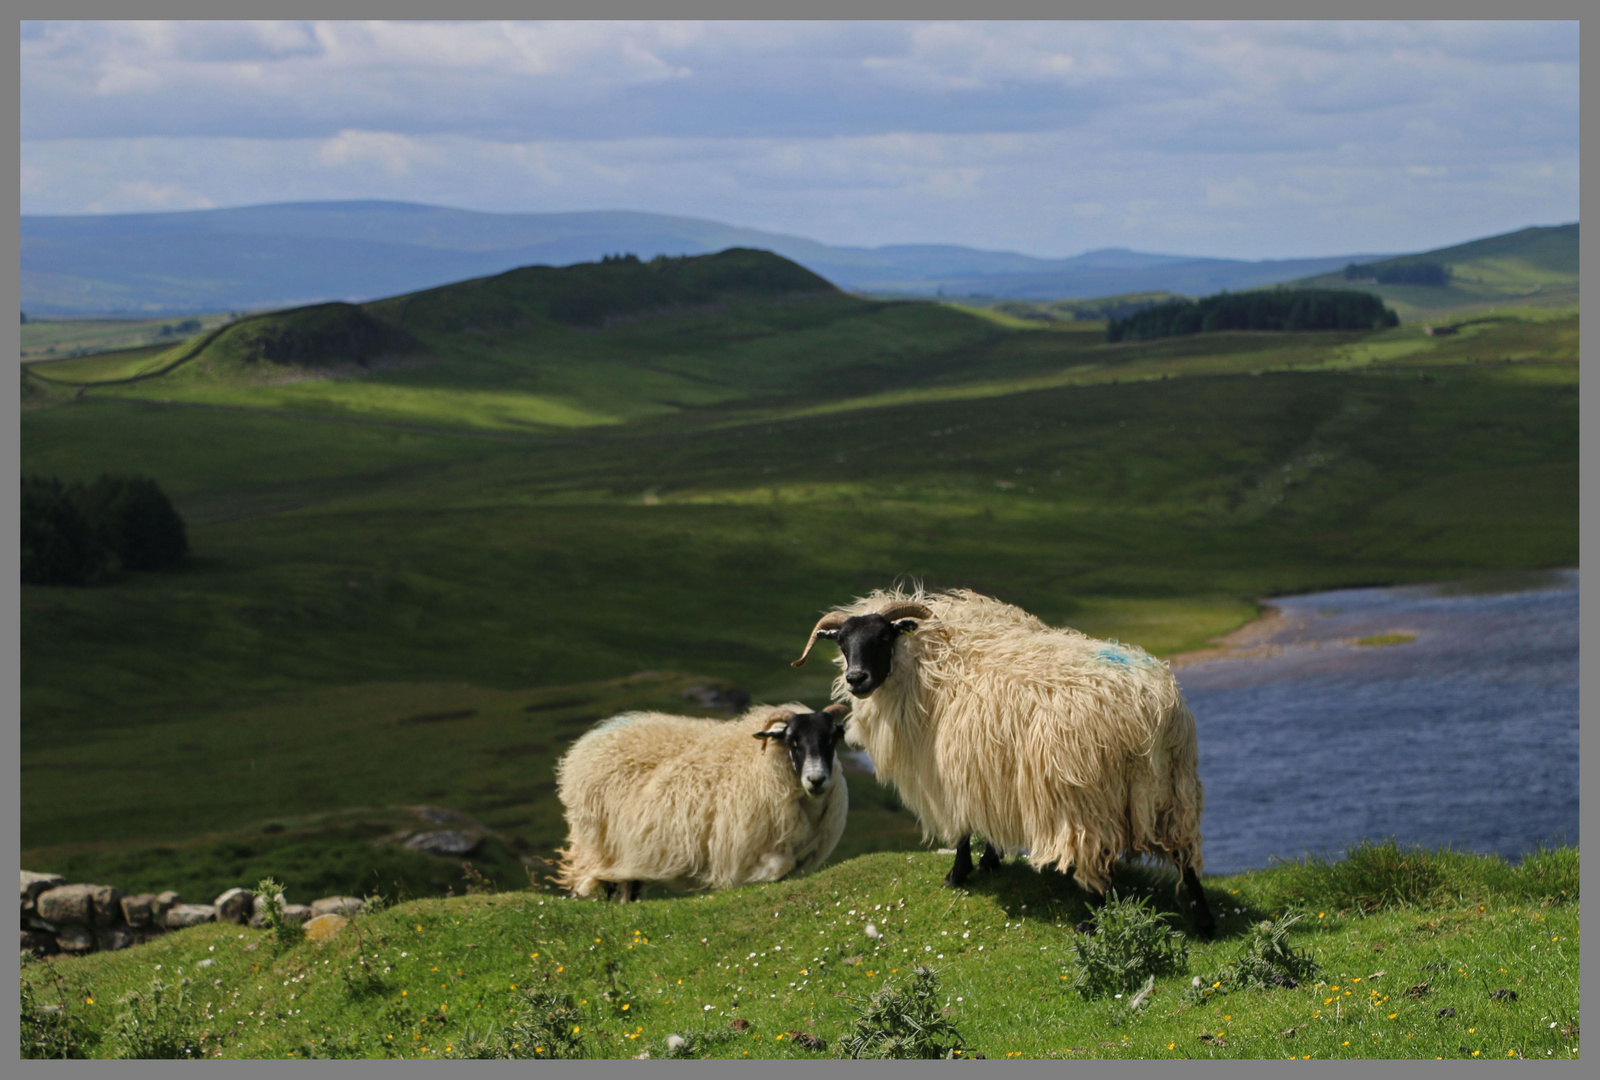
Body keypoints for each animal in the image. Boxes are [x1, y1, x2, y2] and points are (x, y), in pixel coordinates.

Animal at [553, 704, 851, 902]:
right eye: (793, 741)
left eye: (831, 739)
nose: (816, 779)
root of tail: (590, 741)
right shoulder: (739, 847)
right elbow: (775, 868)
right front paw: (746, 881)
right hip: (597, 845)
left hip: (630, 853)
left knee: (629, 889)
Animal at [793, 582, 1216, 940]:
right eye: (842, 642)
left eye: (883, 637)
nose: (856, 679)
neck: (930, 665)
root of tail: (1149, 710)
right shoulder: (987, 771)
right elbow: (986, 823)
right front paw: (989, 862)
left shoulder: (952, 772)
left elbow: (962, 830)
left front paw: (958, 874)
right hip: (1174, 791)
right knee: (1186, 858)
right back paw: (1204, 923)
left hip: (1088, 801)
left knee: (1098, 862)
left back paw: (1090, 922)